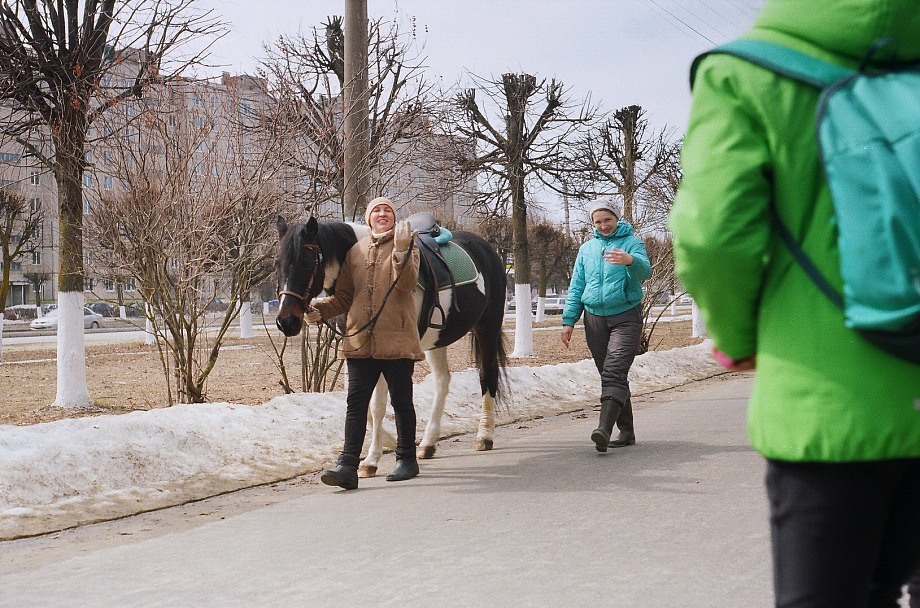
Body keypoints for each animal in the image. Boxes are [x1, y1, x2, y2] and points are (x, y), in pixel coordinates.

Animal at [274, 216, 510, 478]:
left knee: (487, 375)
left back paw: (484, 436)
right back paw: (428, 443)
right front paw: (390, 442)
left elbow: (377, 406)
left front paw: (371, 460)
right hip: (437, 339)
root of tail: (485, 248)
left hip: (487, 327)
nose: (286, 321)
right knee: (442, 381)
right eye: (277, 263)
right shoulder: (358, 352)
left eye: (307, 261)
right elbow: (364, 405)